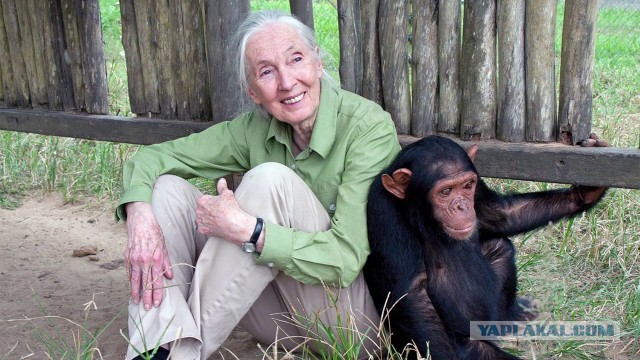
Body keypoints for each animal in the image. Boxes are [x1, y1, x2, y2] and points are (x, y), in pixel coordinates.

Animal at [362, 136, 608, 360]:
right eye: (445, 192)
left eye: (467, 186)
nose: (462, 206)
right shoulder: (385, 210)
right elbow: (413, 294)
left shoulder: (478, 185)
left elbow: (499, 214)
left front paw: (585, 192)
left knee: (500, 247)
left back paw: (511, 316)